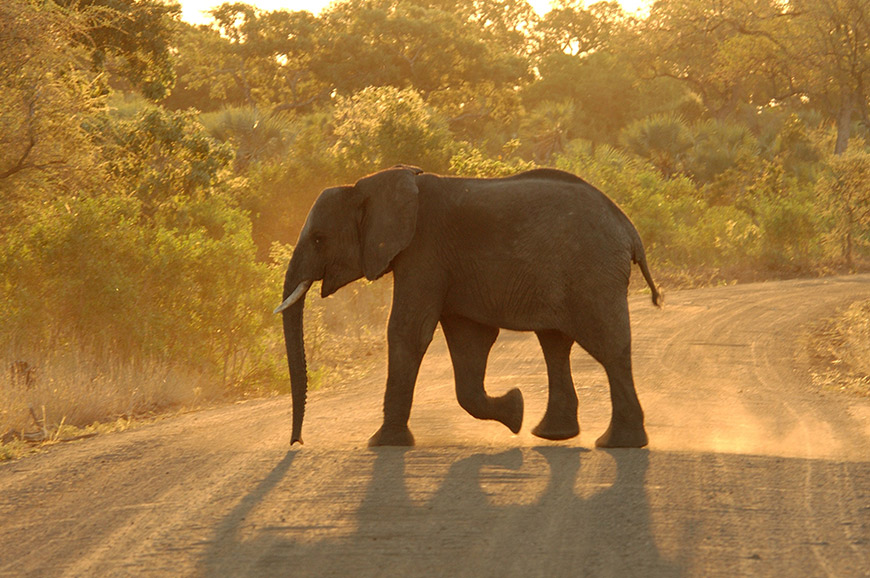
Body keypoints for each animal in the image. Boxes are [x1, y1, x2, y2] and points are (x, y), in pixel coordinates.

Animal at [276, 164, 664, 448]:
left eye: (318, 239)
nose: (297, 443)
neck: (370, 185)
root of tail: (629, 230)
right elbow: (468, 342)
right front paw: (515, 409)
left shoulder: (423, 252)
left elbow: (407, 332)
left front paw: (382, 443)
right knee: (555, 345)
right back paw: (552, 434)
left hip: (592, 273)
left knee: (608, 347)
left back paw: (618, 443)